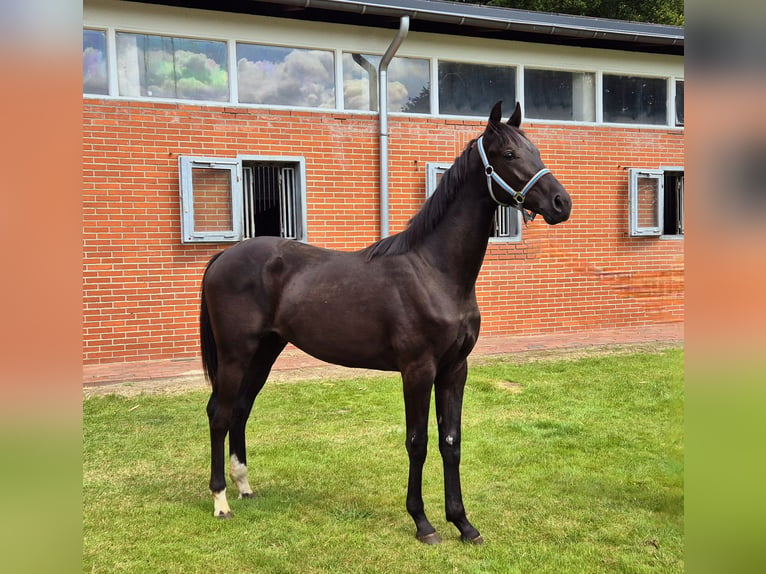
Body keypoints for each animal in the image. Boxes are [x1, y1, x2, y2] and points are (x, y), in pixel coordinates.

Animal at [201, 101, 572, 548]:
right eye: (509, 154)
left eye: (535, 150)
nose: (561, 202)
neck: (436, 271)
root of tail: (225, 256)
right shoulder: (417, 371)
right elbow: (418, 442)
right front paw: (423, 523)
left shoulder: (455, 370)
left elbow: (451, 441)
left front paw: (463, 524)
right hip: (236, 354)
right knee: (220, 414)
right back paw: (221, 501)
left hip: (264, 352)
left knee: (240, 410)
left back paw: (244, 486)